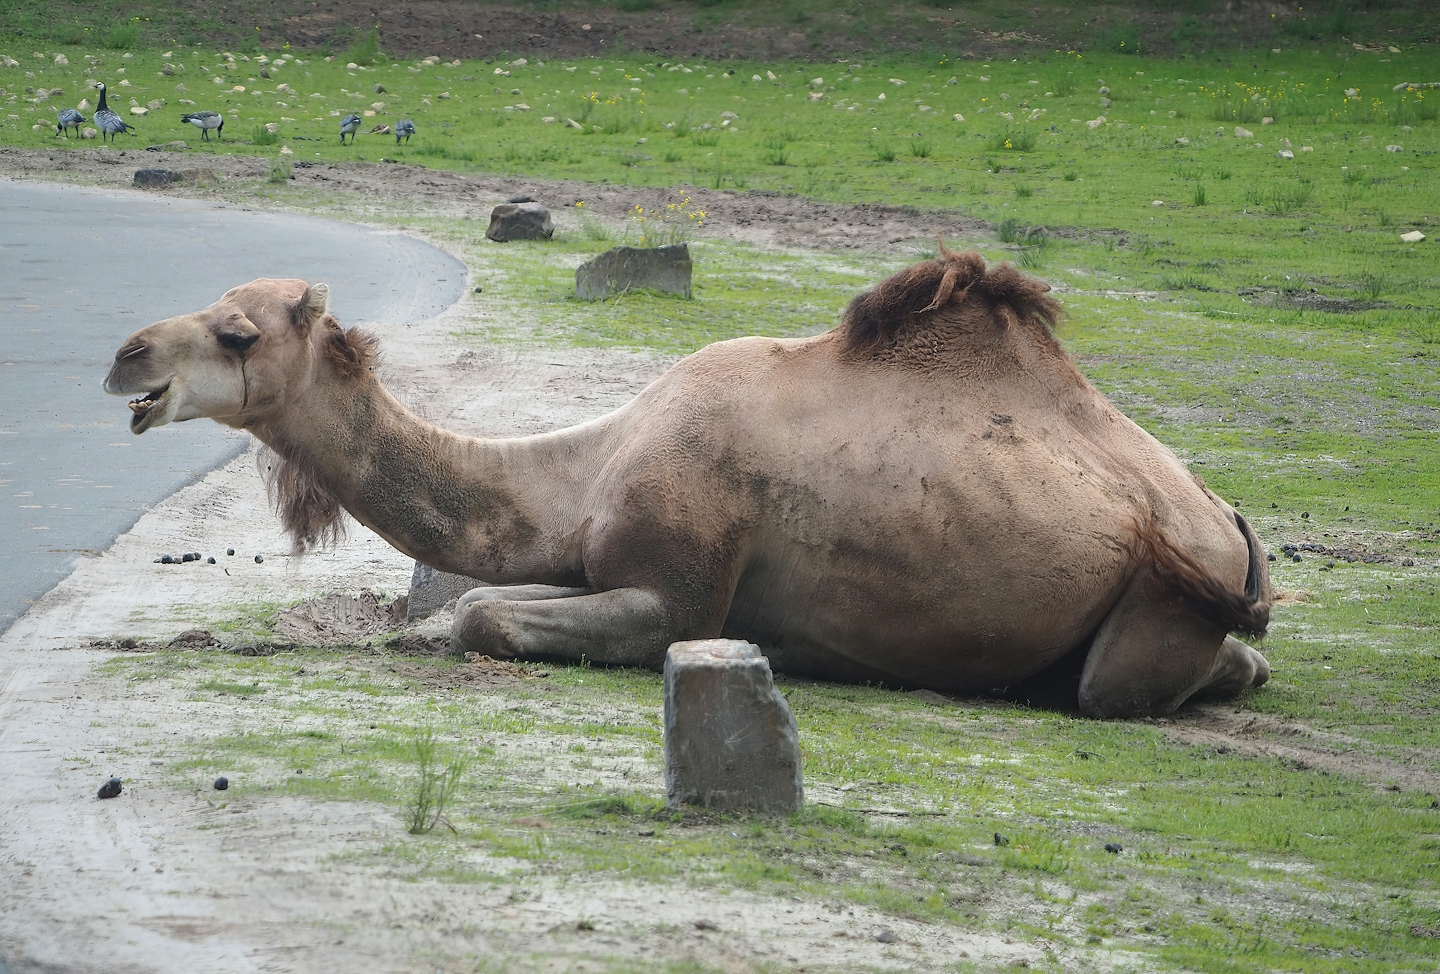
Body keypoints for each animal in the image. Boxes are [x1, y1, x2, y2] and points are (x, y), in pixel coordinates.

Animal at [104, 248, 1272, 717]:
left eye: (237, 330)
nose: (125, 356)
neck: (592, 468)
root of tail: (1225, 526)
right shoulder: (601, 563)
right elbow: (480, 602)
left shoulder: (680, 590)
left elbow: (480, 614)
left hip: (1164, 588)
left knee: (1122, 686)